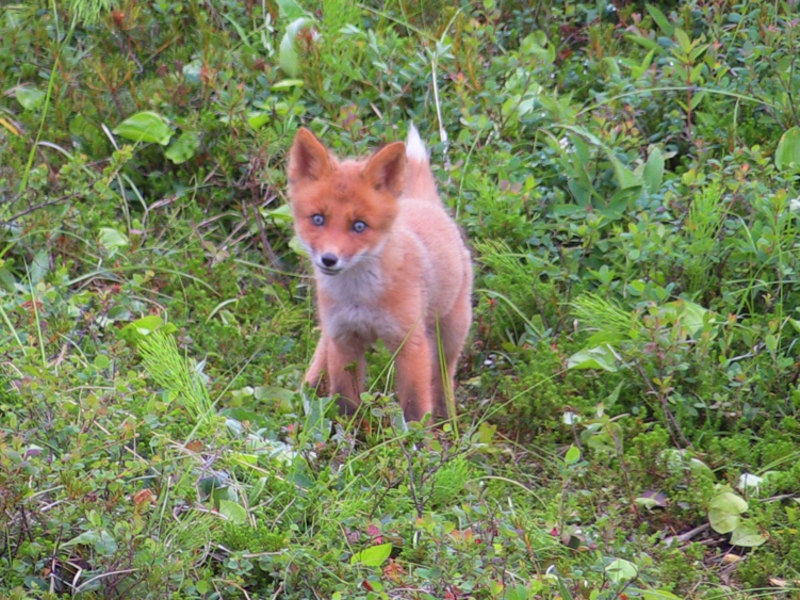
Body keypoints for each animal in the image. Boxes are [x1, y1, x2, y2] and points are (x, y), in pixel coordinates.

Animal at [290, 124, 472, 422]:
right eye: (318, 219)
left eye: (359, 226)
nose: (329, 259)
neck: (359, 297)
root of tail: (420, 202)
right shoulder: (344, 338)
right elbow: (345, 402)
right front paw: (346, 433)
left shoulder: (411, 343)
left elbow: (415, 407)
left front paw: (419, 436)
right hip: (331, 334)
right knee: (319, 359)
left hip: (449, 335)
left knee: (443, 378)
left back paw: (448, 419)